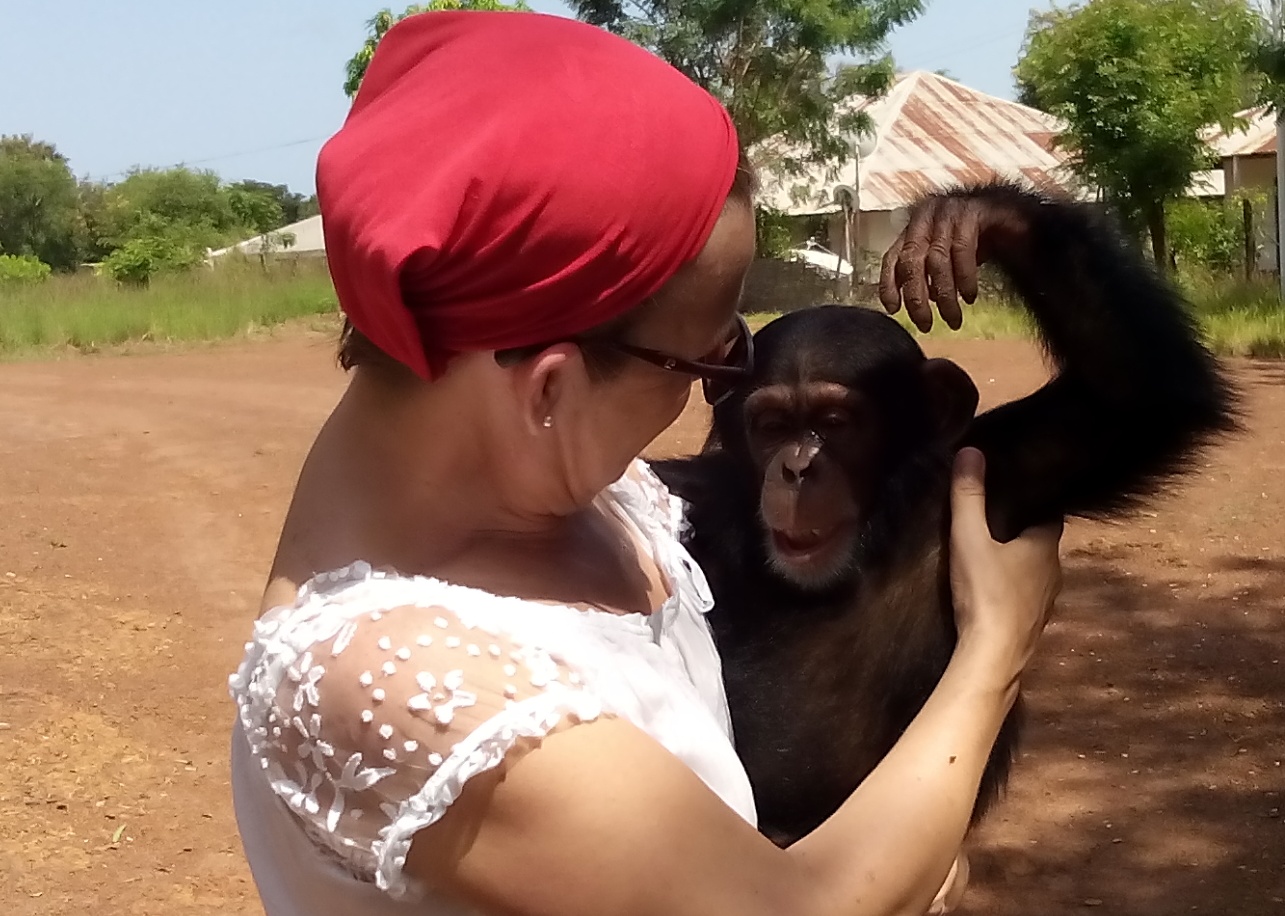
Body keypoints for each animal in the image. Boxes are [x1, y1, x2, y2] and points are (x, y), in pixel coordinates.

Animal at [657, 182, 1238, 847]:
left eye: (835, 424)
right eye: (772, 426)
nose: (798, 468)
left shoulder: (1005, 466)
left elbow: (1132, 397)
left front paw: (966, 220)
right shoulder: (699, 492)